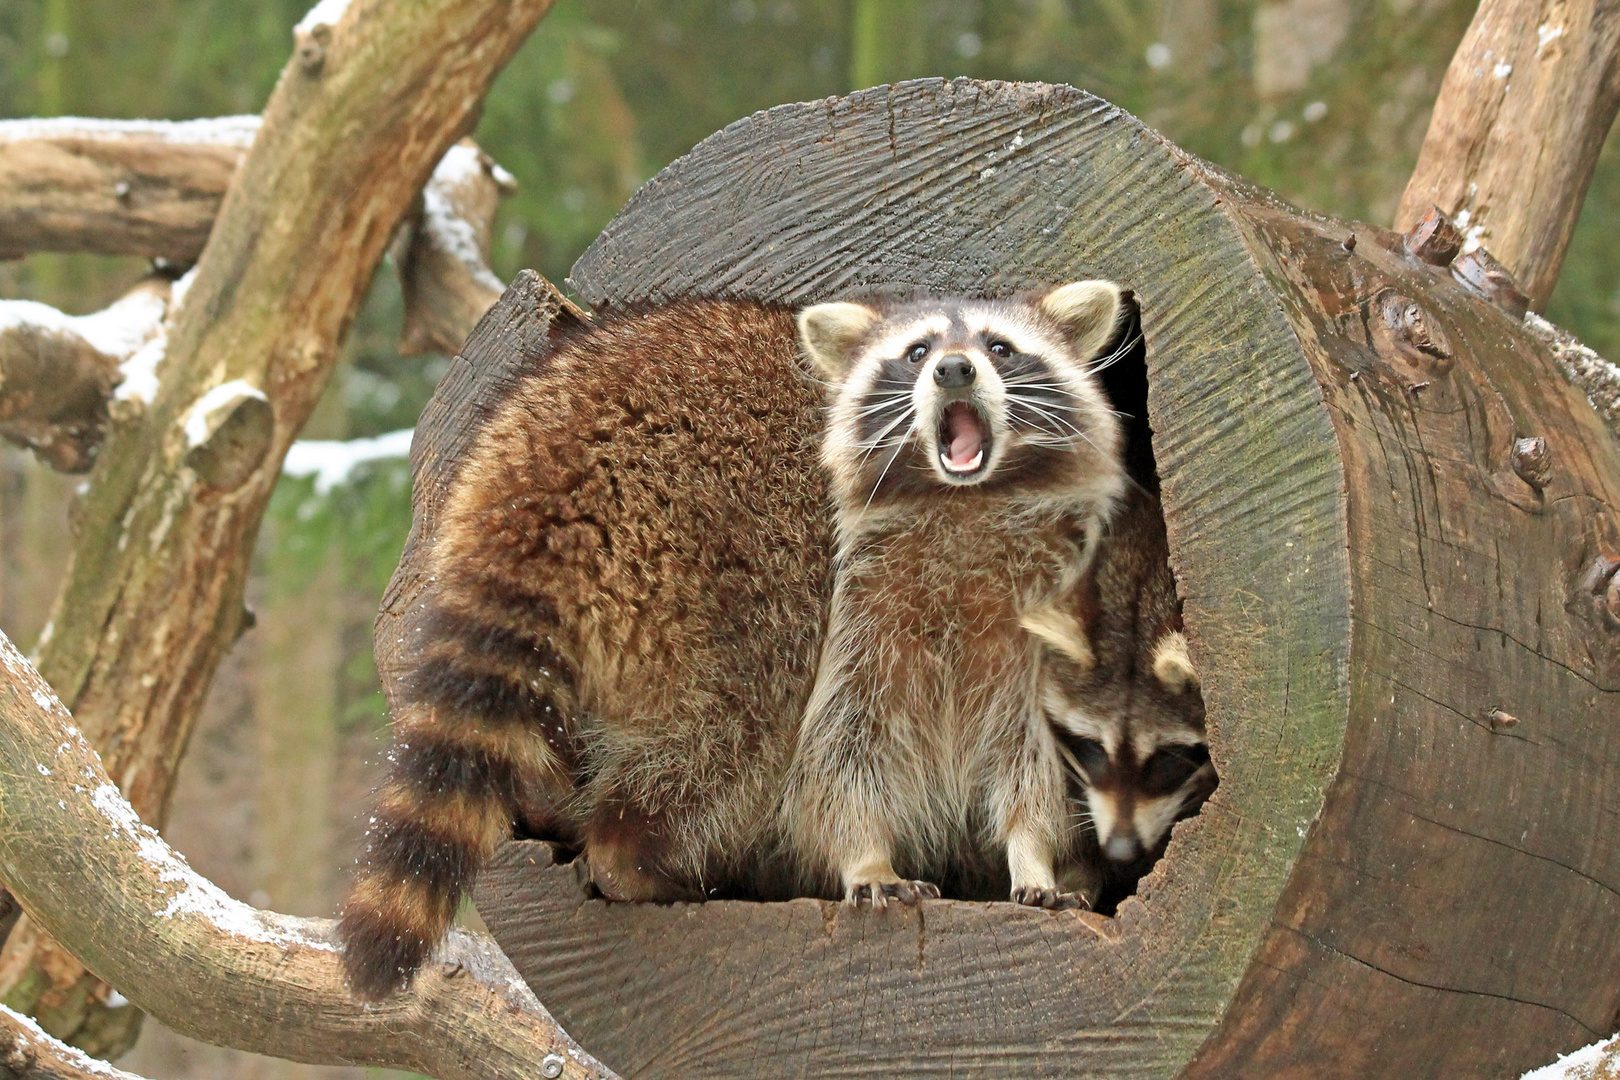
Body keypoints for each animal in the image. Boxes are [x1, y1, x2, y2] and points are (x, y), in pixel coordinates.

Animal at [780, 281, 1127, 913]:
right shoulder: (862, 624)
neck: (965, 498)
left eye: (999, 347)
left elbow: (1035, 764)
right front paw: (867, 855)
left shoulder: (1041, 634)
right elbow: (841, 753)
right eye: (918, 351)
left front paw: (1033, 852)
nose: (955, 369)